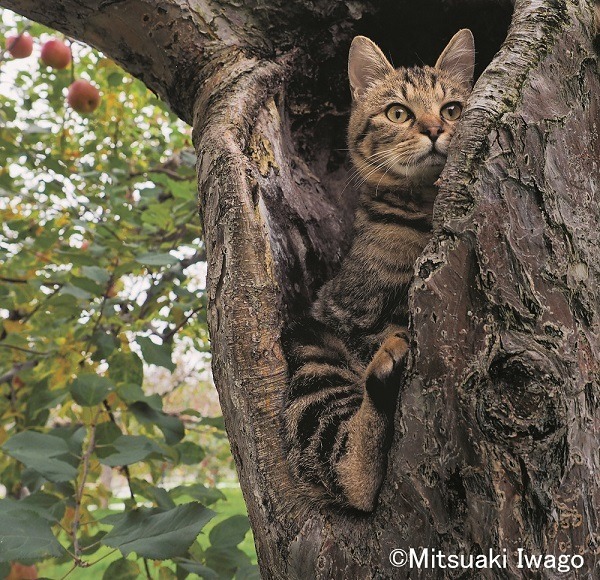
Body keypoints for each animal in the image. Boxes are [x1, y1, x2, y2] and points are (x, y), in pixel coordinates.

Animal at [284, 29, 476, 510]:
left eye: (452, 109)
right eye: (397, 112)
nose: (435, 130)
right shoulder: (351, 310)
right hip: (312, 354)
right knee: (347, 471)